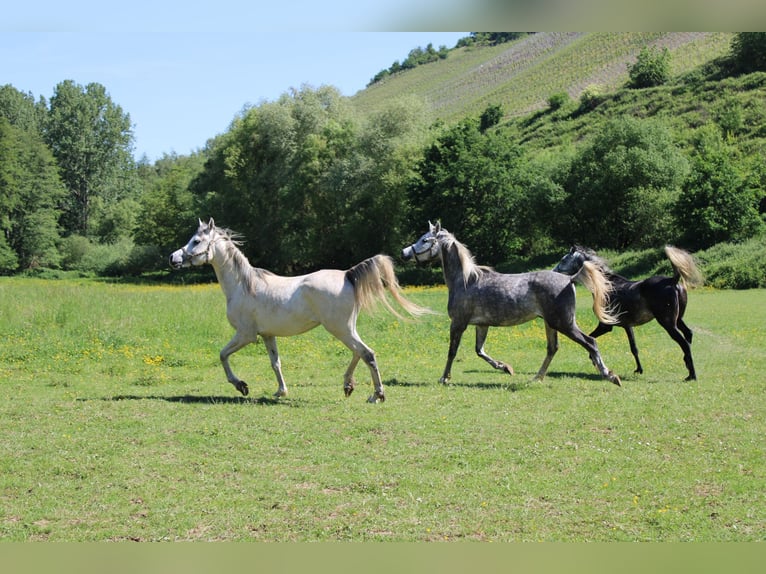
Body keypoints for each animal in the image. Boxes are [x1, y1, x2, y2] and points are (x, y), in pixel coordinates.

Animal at [169, 219, 430, 403]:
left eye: (196, 241)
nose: (173, 258)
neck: (243, 285)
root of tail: (347, 274)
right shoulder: (267, 335)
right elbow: (275, 363)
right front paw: (280, 391)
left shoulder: (245, 335)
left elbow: (223, 355)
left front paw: (241, 385)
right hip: (346, 328)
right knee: (359, 352)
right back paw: (348, 385)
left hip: (339, 329)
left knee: (367, 353)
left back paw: (376, 395)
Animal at [401, 222, 622, 386]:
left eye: (425, 240)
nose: (404, 253)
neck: (465, 281)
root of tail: (570, 279)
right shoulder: (481, 325)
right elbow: (479, 351)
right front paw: (506, 368)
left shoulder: (458, 323)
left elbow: (452, 351)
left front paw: (444, 378)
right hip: (551, 324)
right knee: (552, 348)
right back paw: (536, 378)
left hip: (564, 323)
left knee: (590, 343)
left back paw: (610, 375)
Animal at [553, 245, 703, 380]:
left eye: (563, 259)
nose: (553, 271)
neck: (606, 285)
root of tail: (672, 281)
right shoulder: (627, 326)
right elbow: (634, 348)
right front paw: (639, 369)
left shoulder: (605, 326)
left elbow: (591, 338)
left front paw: (594, 360)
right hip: (678, 319)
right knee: (688, 335)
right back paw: (688, 367)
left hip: (668, 323)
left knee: (684, 343)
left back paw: (692, 375)